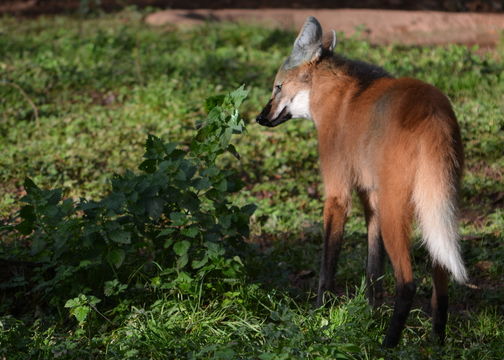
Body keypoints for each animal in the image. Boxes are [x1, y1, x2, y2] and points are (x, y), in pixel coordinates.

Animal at [256, 16, 468, 346]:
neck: (338, 94)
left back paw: (389, 345)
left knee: (407, 282)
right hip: (437, 206)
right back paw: (437, 340)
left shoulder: (338, 194)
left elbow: (327, 266)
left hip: (398, 211)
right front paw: (369, 314)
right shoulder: (371, 197)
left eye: (278, 87)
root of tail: (432, 108)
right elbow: (372, 269)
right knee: (441, 276)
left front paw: (320, 315)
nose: (259, 118)